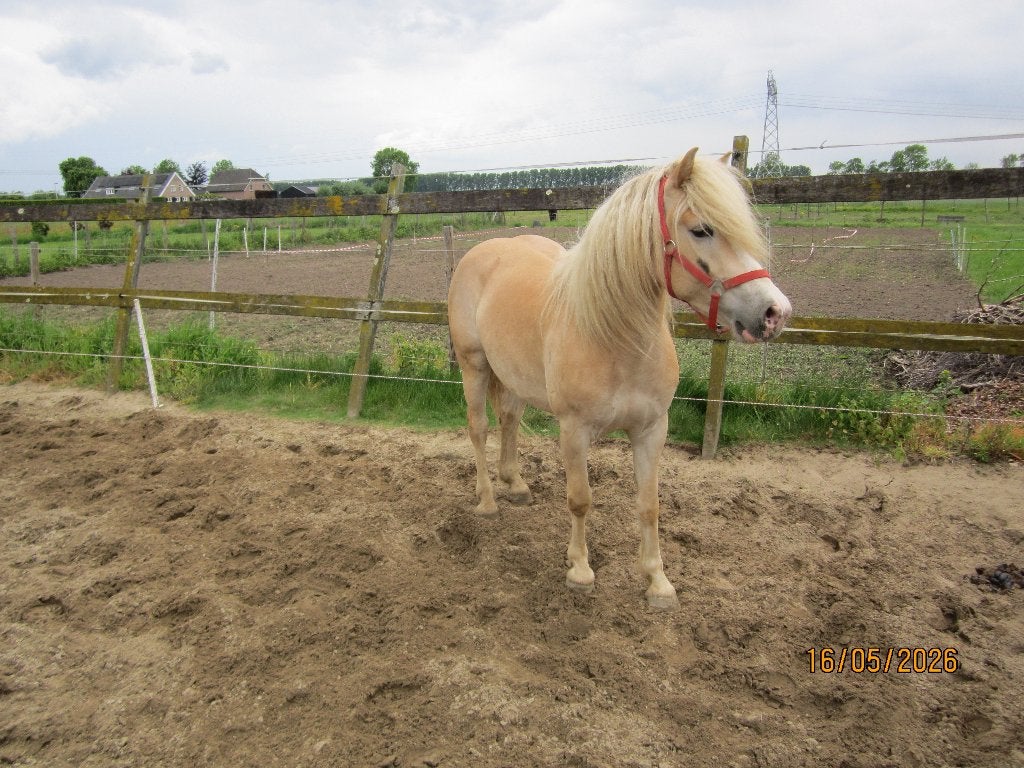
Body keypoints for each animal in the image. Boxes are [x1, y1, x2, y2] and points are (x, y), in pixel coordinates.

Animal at [447, 148, 792, 608]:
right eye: (701, 229)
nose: (775, 313)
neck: (615, 336)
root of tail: (486, 250)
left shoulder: (651, 429)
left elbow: (649, 504)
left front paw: (658, 582)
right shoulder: (574, 430)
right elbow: (579, 500)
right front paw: (579, 569)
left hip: (514, 377)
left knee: (510, 421)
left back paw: (515, 484)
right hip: (475, 366)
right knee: (479, 428)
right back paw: (486, 500)